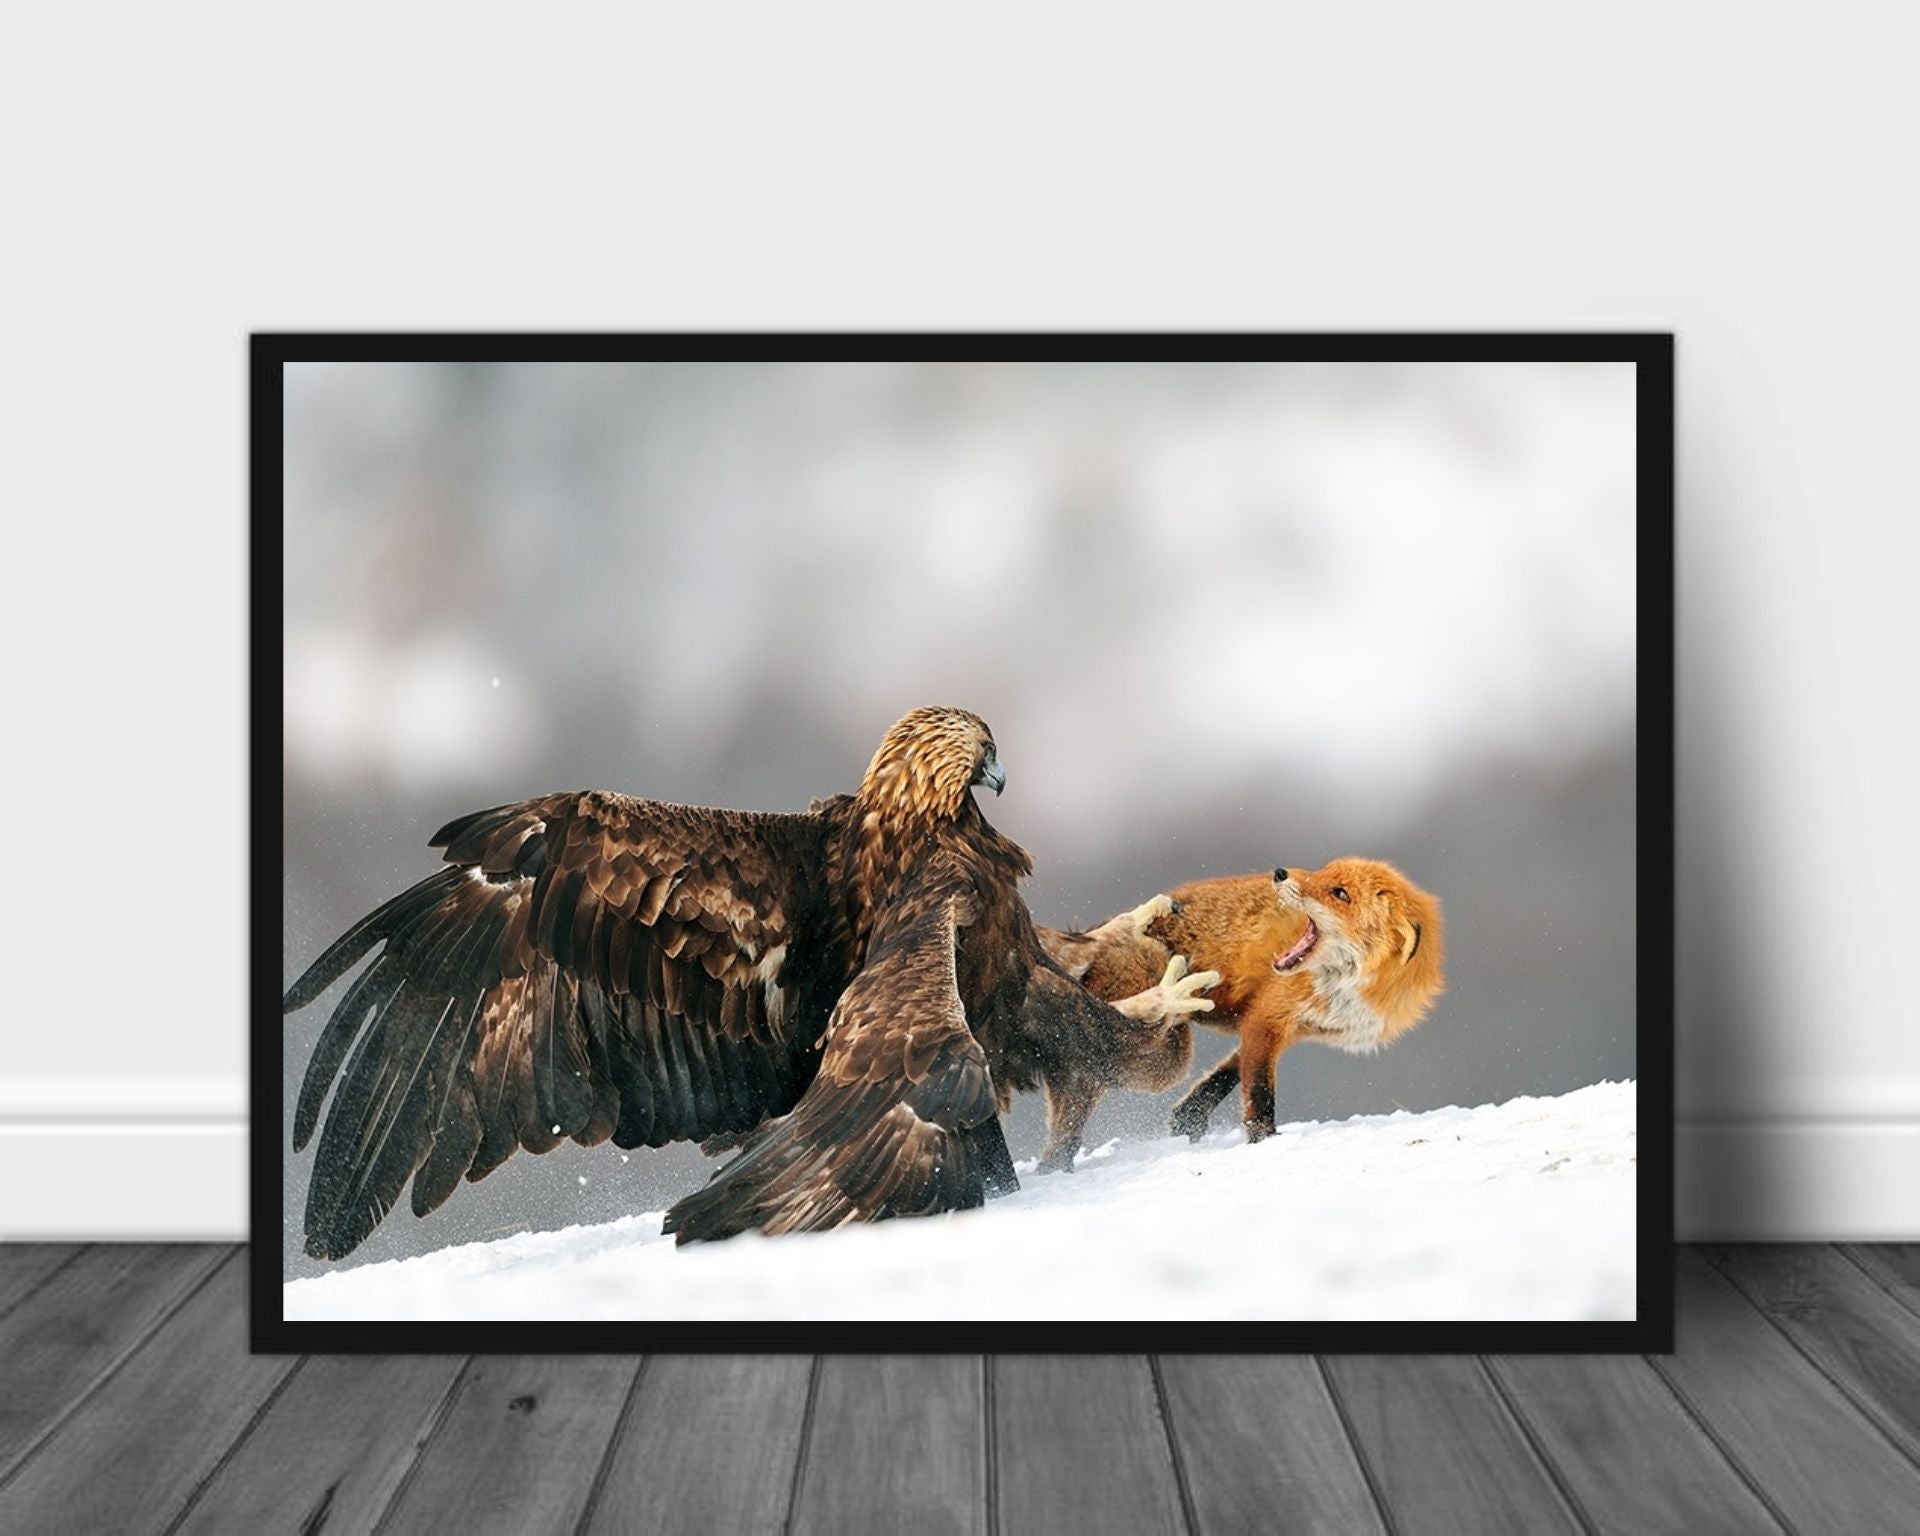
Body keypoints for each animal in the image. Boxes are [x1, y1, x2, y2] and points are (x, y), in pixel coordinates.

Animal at [1039, 858, 1444, 1147]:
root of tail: (1088, 936)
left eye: (1340, 893)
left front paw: (1189, 1118)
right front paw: (1262, 1142)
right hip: (1166, 1056)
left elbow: (1225, 1075)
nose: (1279, 872)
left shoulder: (1282, 1024)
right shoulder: (1268, 1018)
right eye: (1323, 871)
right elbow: (1259, 1094)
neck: (1348, 990)